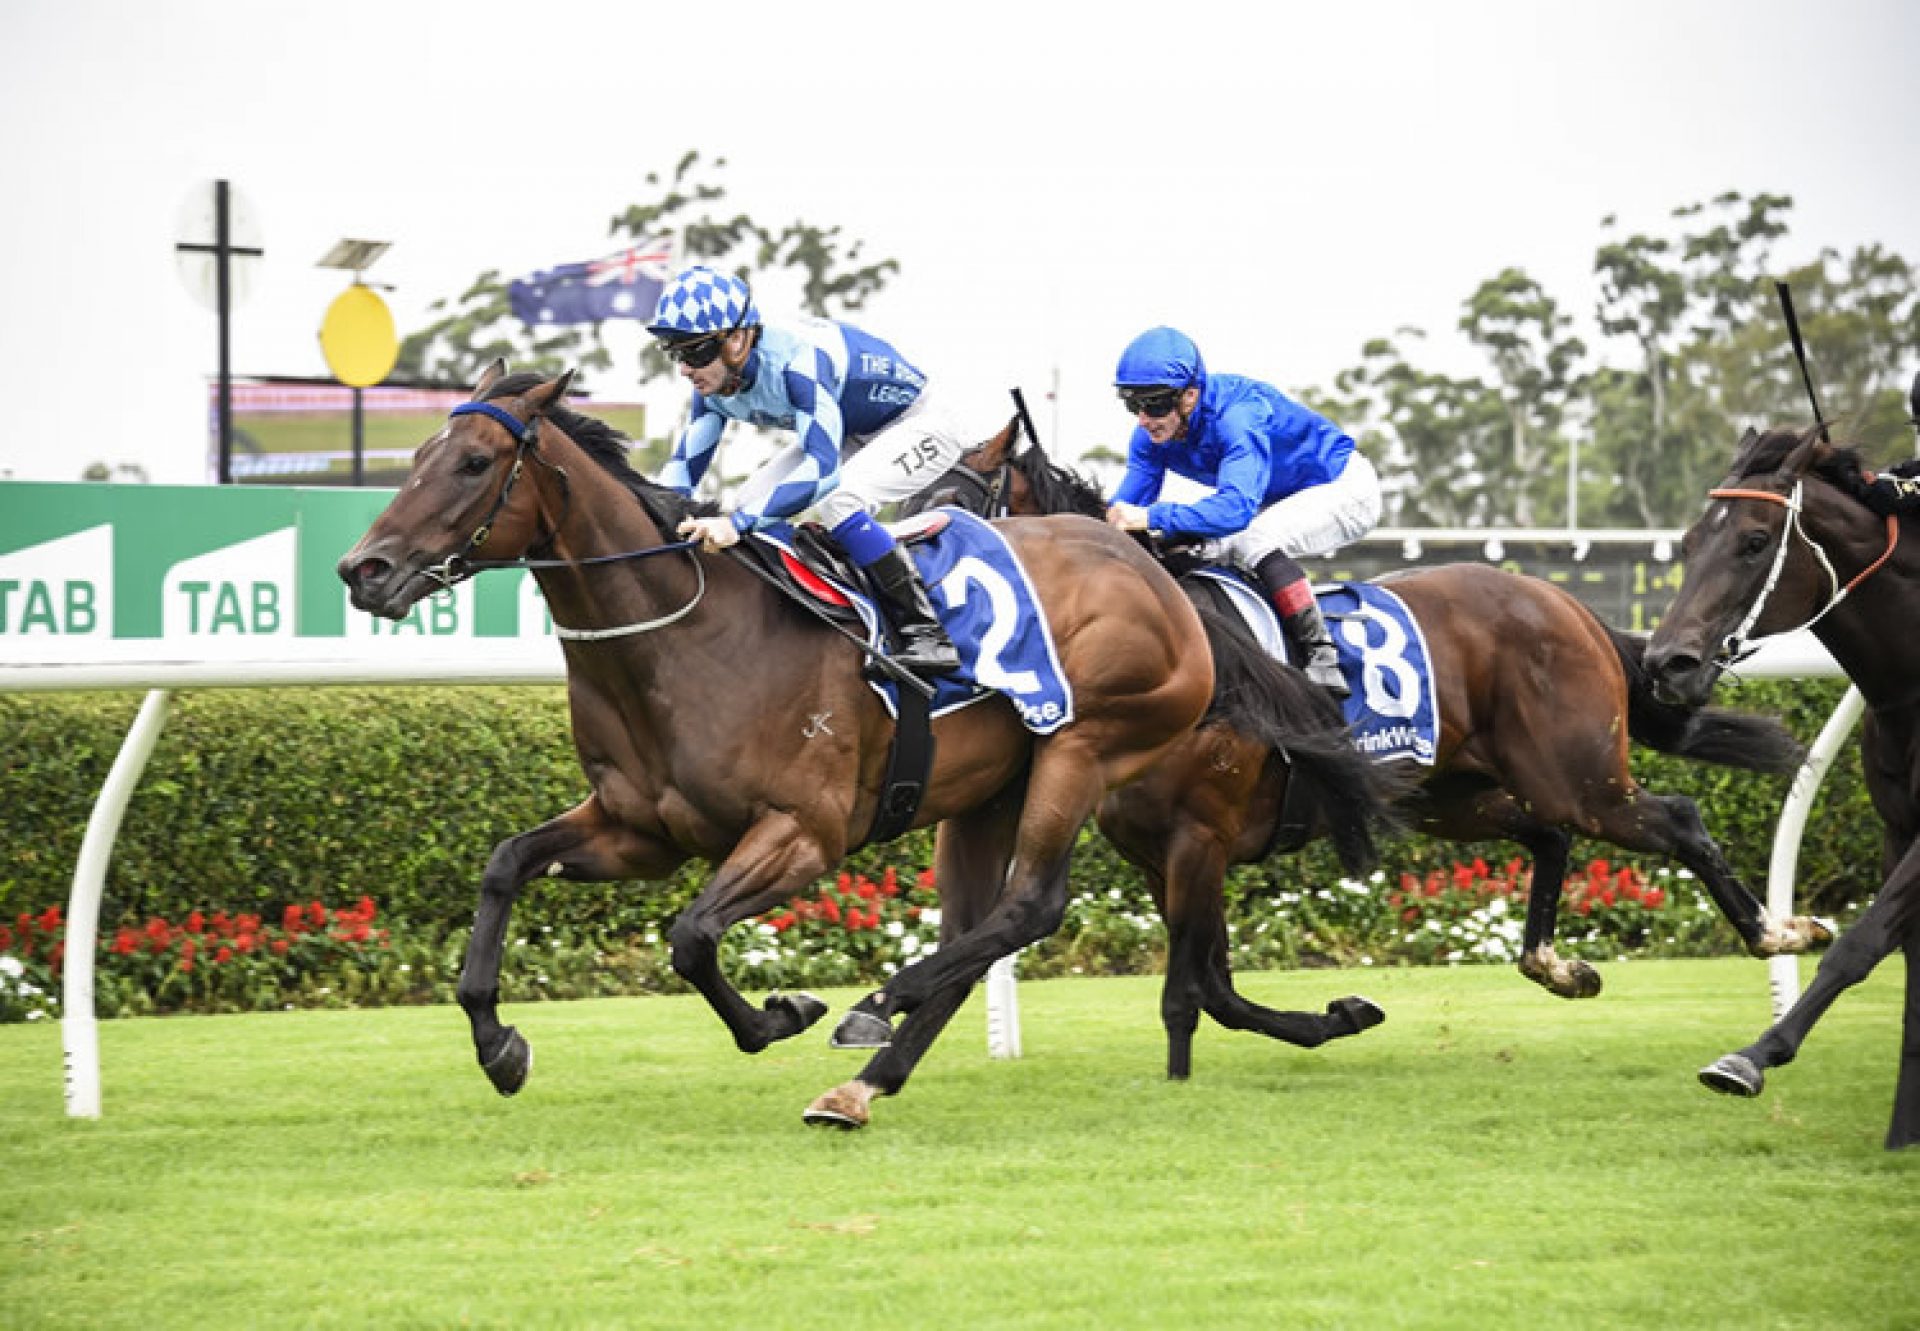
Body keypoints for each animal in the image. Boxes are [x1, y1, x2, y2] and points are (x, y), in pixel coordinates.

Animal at [913, 426, 1827, 1083]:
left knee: (1677, 817)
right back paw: (1555, 963)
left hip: (1579, 775)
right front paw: (1338, 1015)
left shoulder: (1199, 841)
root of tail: (1564, 602)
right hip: (1452, 793)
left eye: (948, 503)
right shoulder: (1156, 856)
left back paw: (1777, 930)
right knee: (1548, 835)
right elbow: (1214, 986)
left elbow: (1189, 991)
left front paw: (1185, 1076)